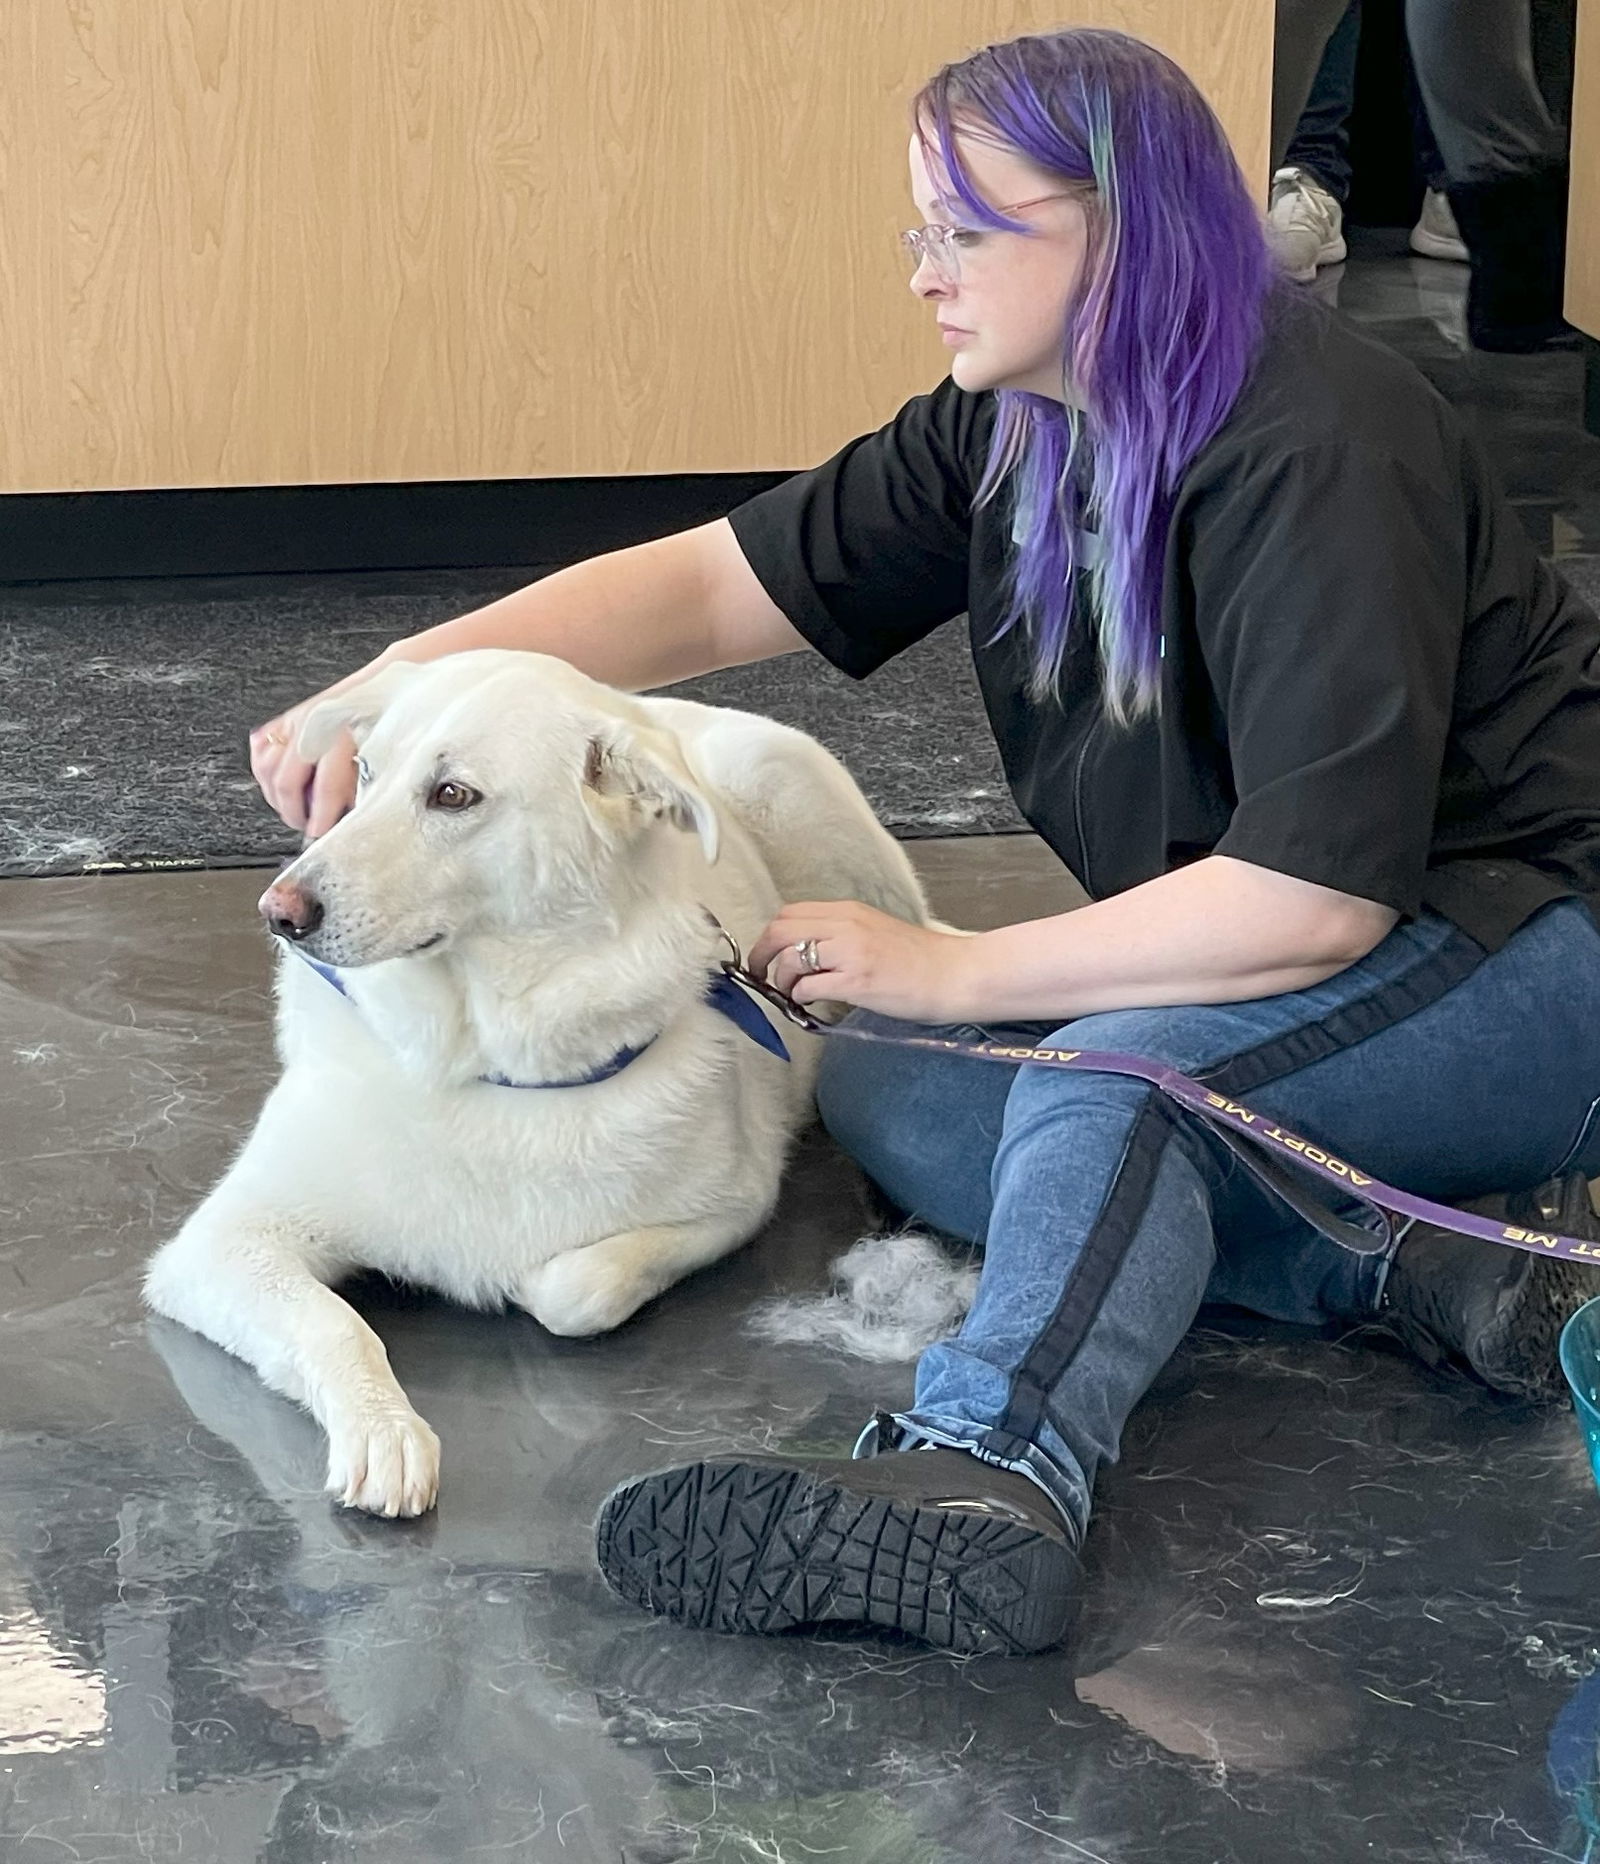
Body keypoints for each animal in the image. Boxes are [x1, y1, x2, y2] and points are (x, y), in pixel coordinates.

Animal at [149, 648, 928, 1521]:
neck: (485, 1066)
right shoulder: (222, 1244)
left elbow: (574, 1287)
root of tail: (656, 707)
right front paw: (384, 1432)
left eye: (453, 795)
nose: (278, 910)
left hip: (797, 795)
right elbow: (332, 1324)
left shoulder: (737, 1207)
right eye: (365, 773)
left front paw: (517, 1286)